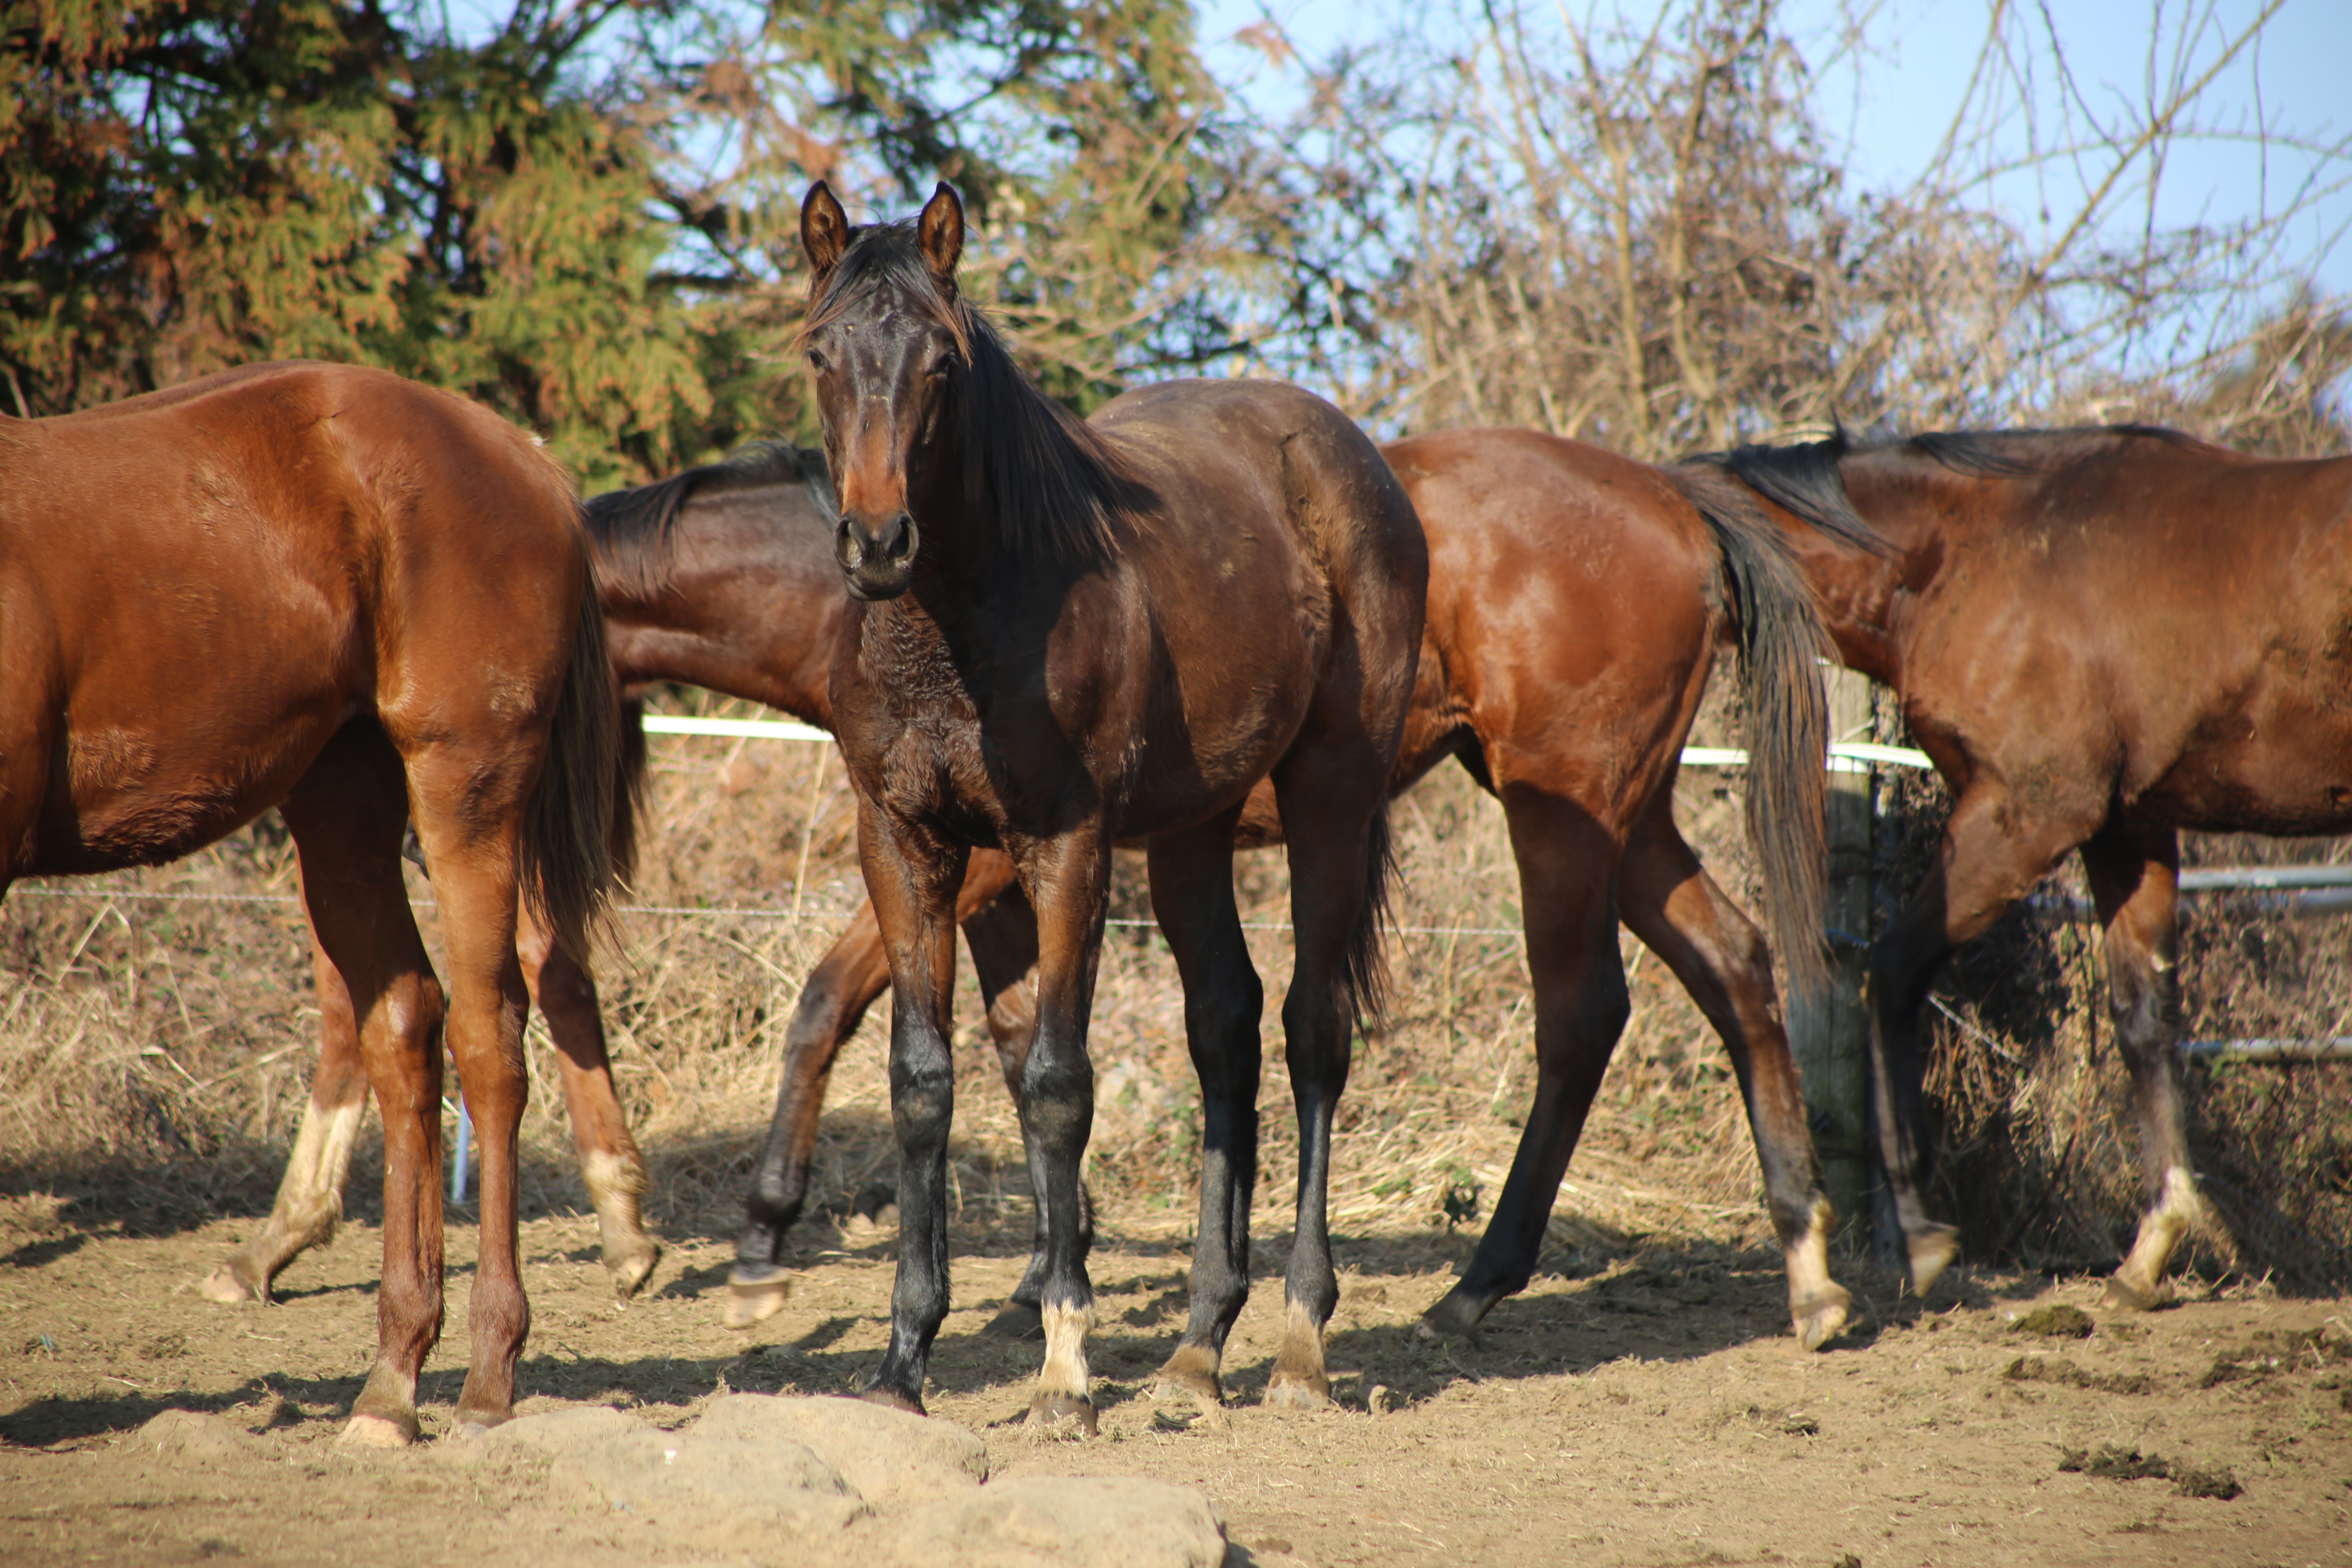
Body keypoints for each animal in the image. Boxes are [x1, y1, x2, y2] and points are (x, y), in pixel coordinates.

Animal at [0, 359, 630, 1448]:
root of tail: (525, 457)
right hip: (342, 798)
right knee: (404, 1023)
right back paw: (392, 1376)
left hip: (466, 790)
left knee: (488, 1038)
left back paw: (488, 1371)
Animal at [800, 175, 1421, 1439]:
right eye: (822, 352)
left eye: (941, 363)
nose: (878, 542)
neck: (961, 620)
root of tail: (1354, 459)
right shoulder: (903, 845)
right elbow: (921, 1083)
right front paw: (903, 1361)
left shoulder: (1066, 849)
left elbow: (1055, 1084)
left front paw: (1065, 1370)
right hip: (1191, 833)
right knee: (1225, 1027)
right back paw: (1196, 1350)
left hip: (1332, 792)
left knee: (1313, 1028)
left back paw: (1298, 1342)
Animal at [1703, 423, 2352, 1307]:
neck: (1968, 552)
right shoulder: (2127, 831)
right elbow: (2145, 1023)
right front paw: (2152, 1249)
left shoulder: (2024, 814)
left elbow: (1894, 974)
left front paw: (1919, 1230)